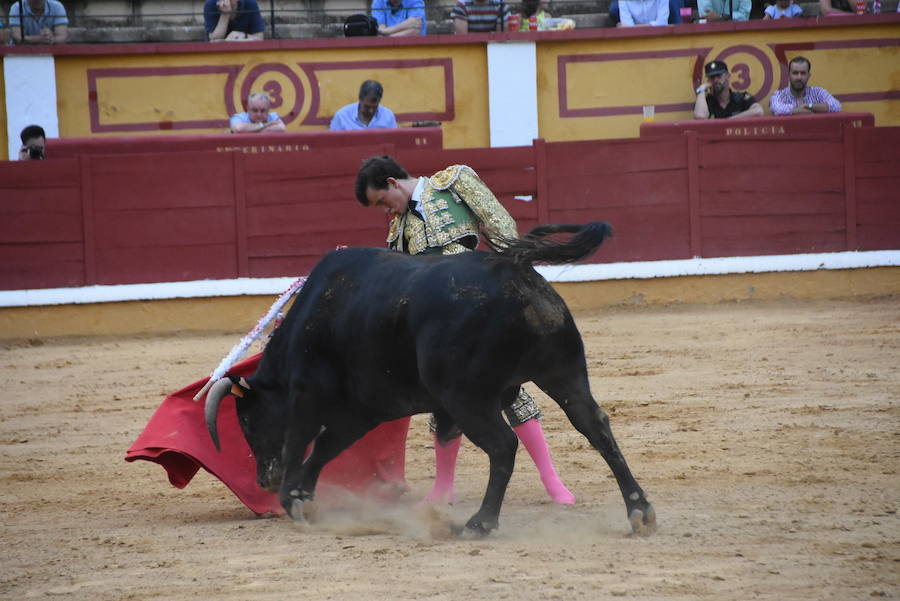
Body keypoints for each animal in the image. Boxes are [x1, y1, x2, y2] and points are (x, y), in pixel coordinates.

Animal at [204, 221, 652, 536]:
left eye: (247, 421)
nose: (265, 480)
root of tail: (515, 270)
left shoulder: (308, 395)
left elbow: (300, 440)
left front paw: (291, 498)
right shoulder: (365, 408)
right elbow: (328, 446)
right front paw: (304, 498)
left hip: (466, 397)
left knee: (504, 445)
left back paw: (479, 524)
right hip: (564, 374)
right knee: (596, 427)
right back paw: (640, 511)